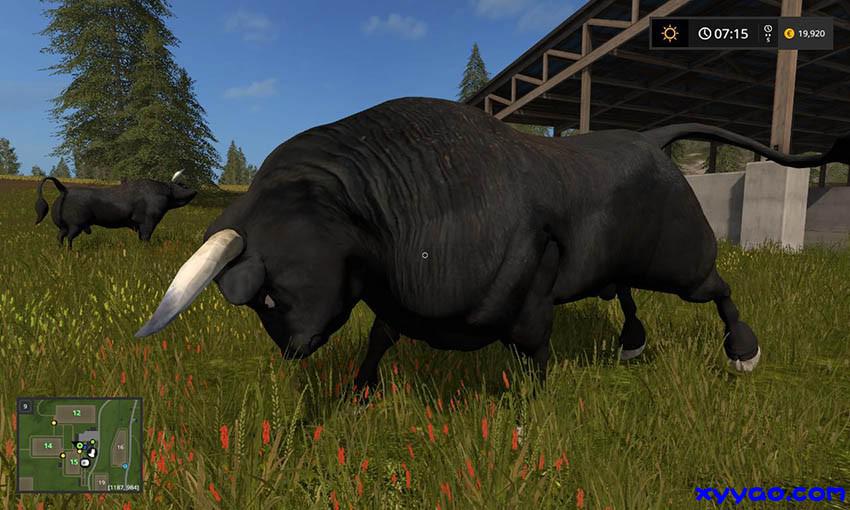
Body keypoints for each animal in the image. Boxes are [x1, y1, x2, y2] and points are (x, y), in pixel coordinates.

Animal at [35, 171, 197, 248]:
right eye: (183, 186)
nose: (195, 190)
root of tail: (64, 189)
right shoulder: (148, 222)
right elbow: (146, 237)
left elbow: (141, 237)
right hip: (76, 225)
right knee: (68, 237)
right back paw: (70, 252)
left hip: (64, 226)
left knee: (60, 236)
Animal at [134, 97, 848, 390]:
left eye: (270, 296)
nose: (293, 349)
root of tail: (650, 139)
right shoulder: (396, 301)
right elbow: (379, 339)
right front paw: (359, 393)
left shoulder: (531, 290)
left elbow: (533, 352)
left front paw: (530, 417)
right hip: (624, 266)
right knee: (622, 290)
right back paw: (632, 346)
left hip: (683, 261)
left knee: (721, 288)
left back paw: (744, 353)